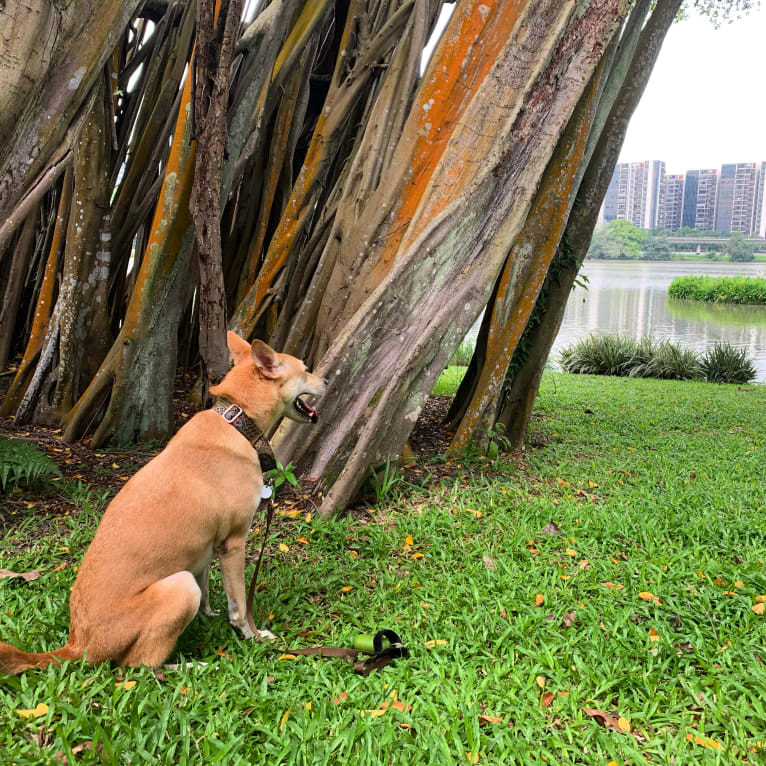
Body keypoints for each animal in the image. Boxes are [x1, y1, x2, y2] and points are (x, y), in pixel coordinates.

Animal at [0, 332, 326, 676]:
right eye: (306, 369)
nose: (328, 380)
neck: (236, 420)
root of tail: (79, 645)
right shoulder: (234, 543)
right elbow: (239, 603)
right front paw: (251, 635)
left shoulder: (206, 548)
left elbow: (207, 589)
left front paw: (210, 616)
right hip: (179, 587)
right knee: (138, 666)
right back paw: (192, 666)